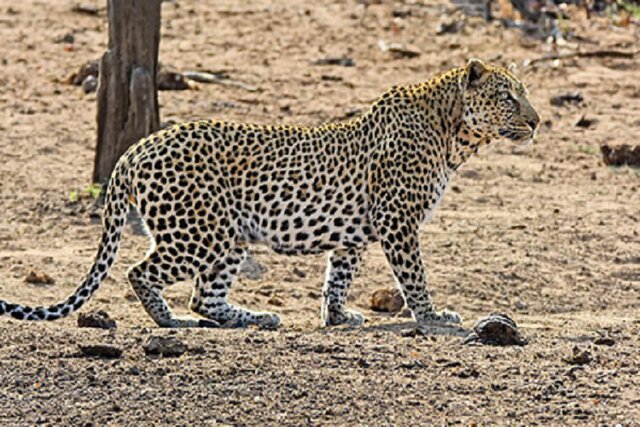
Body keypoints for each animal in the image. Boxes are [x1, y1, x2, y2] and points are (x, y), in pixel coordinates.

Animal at [1, 58, 540, 330]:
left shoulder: (355, 233)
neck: (454, 134)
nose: (536, 121)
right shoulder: (398, 222)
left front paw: (337, 316)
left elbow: (337, 276)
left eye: (524, 93)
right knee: (142, 273)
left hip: (228, 237)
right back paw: (172, 321)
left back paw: (254, 316)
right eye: (508, 96)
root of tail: (136, 149)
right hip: (200, 233)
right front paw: (432, 316)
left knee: (205, 295)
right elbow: (414, 276)